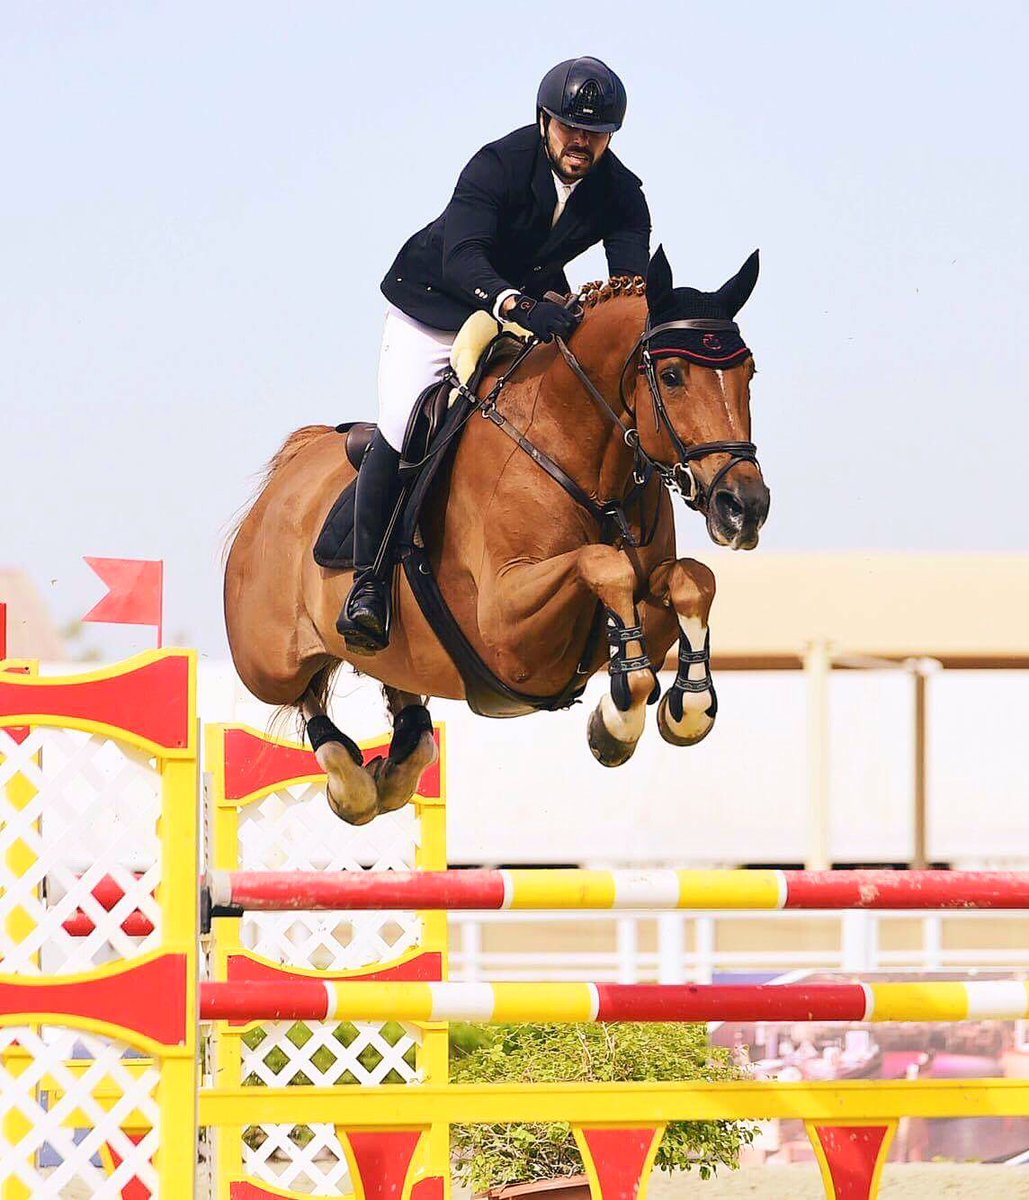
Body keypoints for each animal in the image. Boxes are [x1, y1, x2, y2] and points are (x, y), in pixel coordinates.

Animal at [224, 246, 770, 824]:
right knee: (304, 694)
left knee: (400, 698)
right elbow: (603, 563)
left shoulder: (649, 591)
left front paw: (685, 706)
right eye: (670, 375)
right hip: (266, 662)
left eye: (749, 372)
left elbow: (693, 579)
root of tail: (288, 474)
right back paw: (351, 781)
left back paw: (397, 764)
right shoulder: (505, 624)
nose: (744, 507)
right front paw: (620, 718)